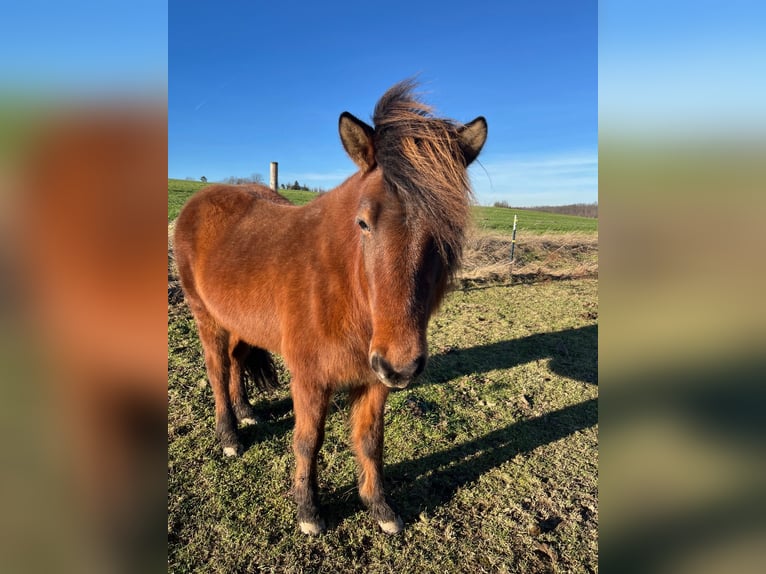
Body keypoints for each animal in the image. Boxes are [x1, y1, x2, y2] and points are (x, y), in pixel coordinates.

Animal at [174, 80, 486, 536]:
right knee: (217, 370)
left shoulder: (374, 380)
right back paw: (230, 437)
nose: (402, 366)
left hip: (240, 322)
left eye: (449, 229)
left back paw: (247, 412)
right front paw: (308, 511)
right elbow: (308, 441)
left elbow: (370, 441)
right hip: (207, 318)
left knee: (234, 362)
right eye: (363, 223)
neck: (344, 287)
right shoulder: (310, 379)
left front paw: (379, 507)